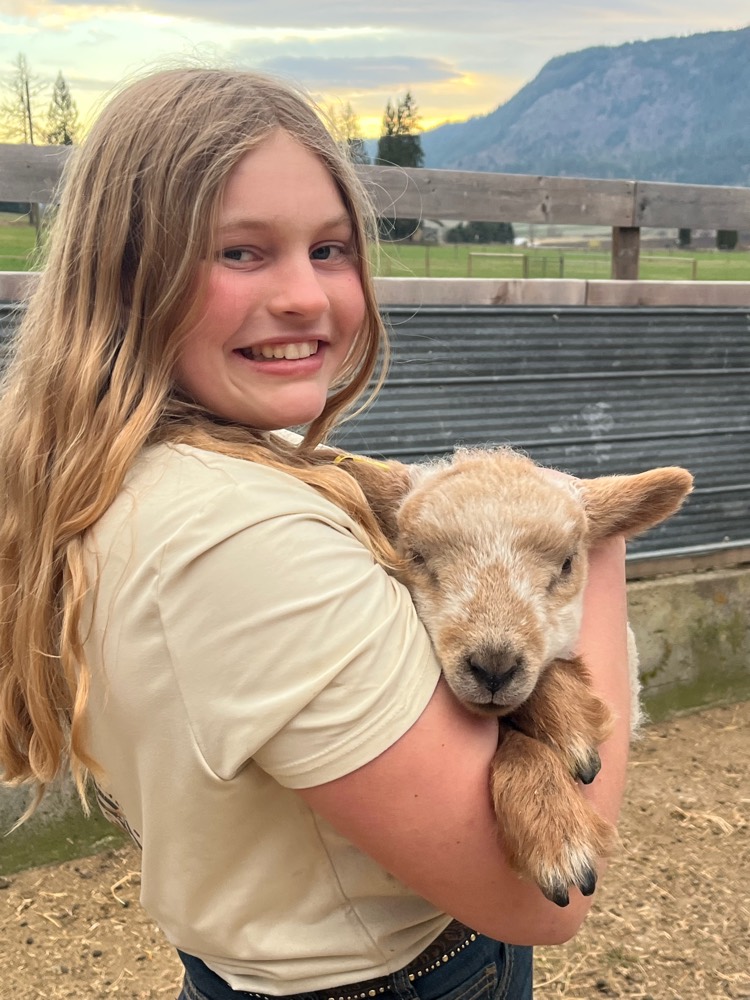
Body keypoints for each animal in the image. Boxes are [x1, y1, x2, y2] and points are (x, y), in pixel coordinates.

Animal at [330, 446, 693, 906]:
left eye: (568, 563)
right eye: (416, 556)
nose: (493, 668)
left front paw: (566, 725)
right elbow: (518, 744)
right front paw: (557, 833)